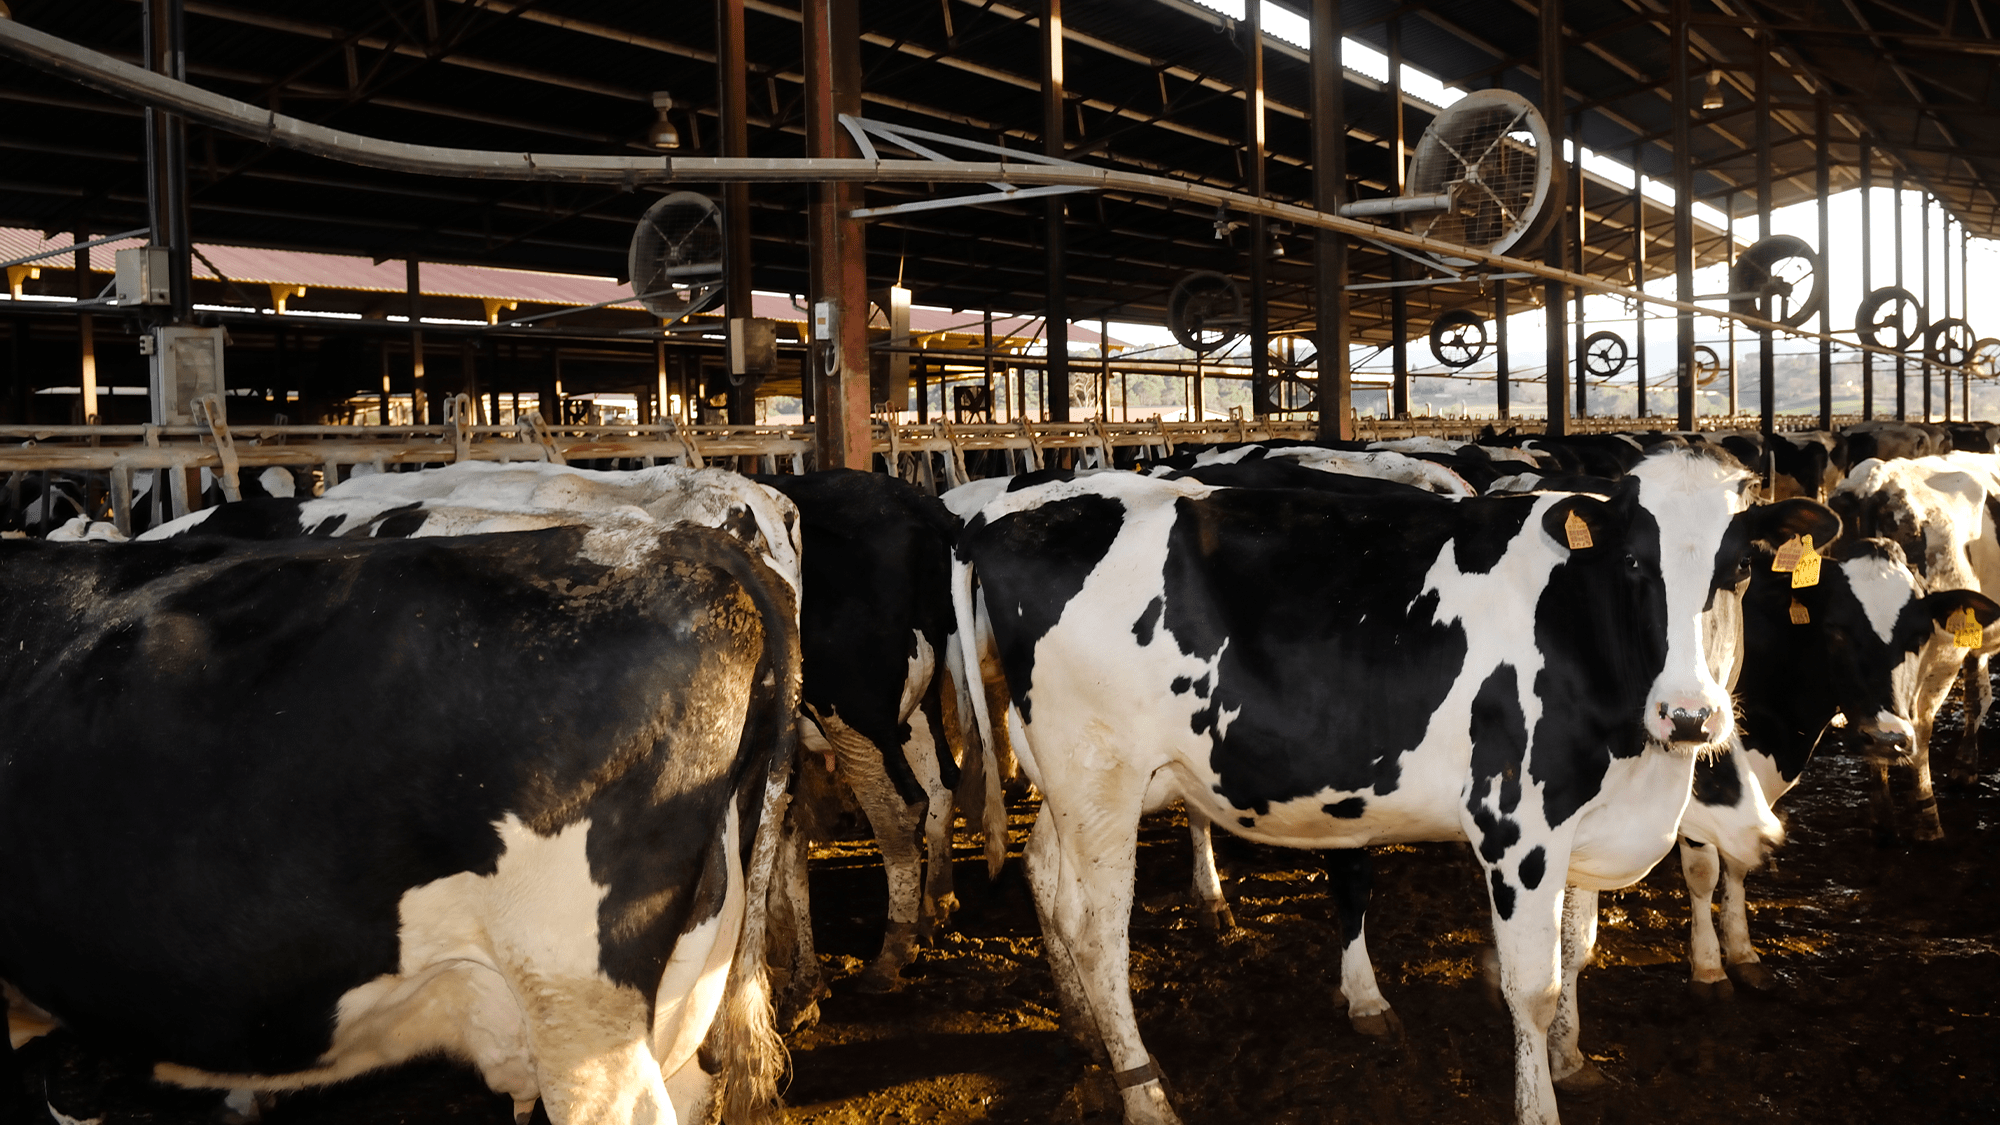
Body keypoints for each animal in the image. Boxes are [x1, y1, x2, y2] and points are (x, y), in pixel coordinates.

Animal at [944, 446, 1832, 1120]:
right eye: (1636, 563)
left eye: (1740, 567)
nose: (1689, 714)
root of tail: (1013, 511)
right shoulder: (1517, 826)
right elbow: (1533, 985)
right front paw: (1539, 1100)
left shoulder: (1587, 818)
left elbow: (1578, 950)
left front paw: (1573, 1058)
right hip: (1099, 774)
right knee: (1099, 933)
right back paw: (1146, 1094)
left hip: (1079, 779)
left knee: (1047, 878)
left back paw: (1084, 1035)